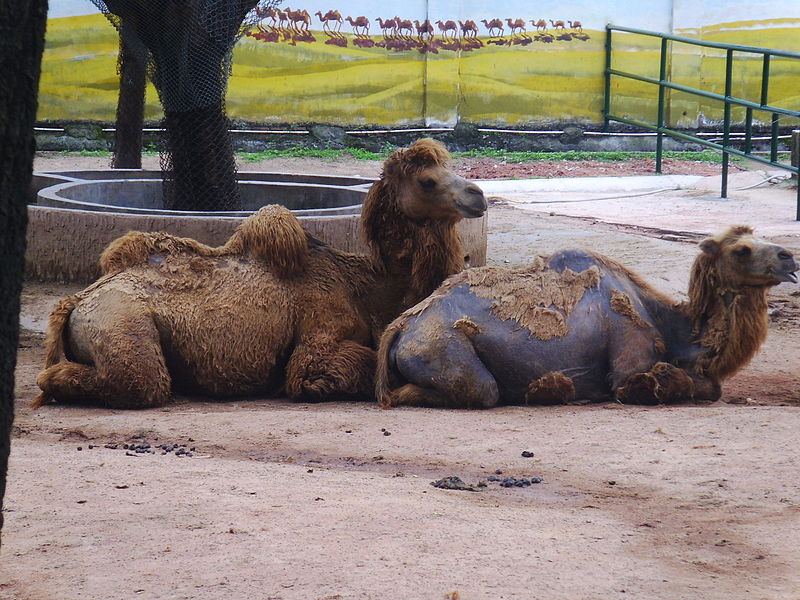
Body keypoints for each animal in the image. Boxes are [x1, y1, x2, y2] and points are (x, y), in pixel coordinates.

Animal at [34, 138, 484, 408]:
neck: (366, 288)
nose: (478, 195)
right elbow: (324, 371)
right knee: (138, 381)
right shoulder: (319, 338)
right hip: (120, 319)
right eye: (427, 180)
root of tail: (77, 300)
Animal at [378, 227, 796, 410]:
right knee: (480, 390)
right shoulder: (630, 358)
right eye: (742, 250)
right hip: (439, 345)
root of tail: (399, 327)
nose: (789, 256)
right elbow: (675, 384)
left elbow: (711, 386)